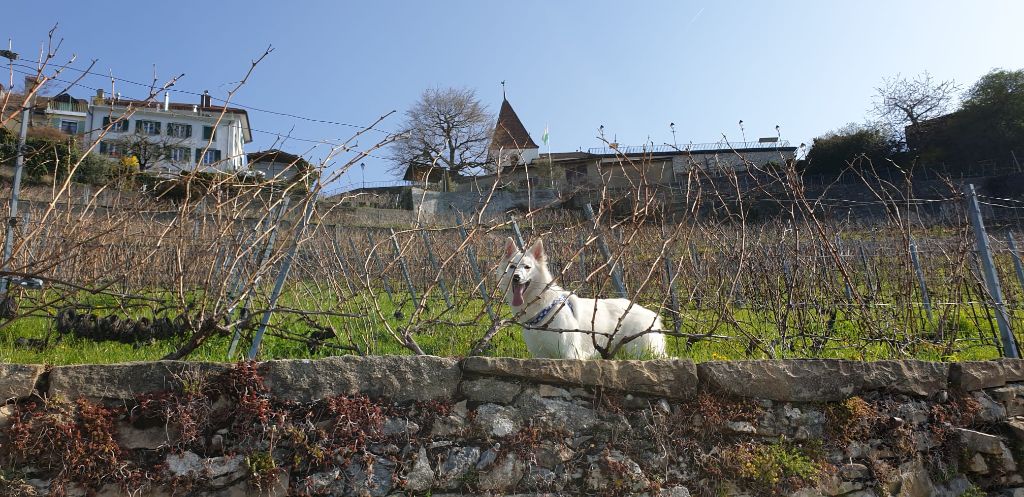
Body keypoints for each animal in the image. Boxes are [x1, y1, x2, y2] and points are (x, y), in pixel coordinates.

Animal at [497, 237, 667, 359]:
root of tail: (651, 314)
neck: (544, 307)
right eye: (512, 267)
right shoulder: (541, 356)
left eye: (527, 267)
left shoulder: (569, 353)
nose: (516, 277)